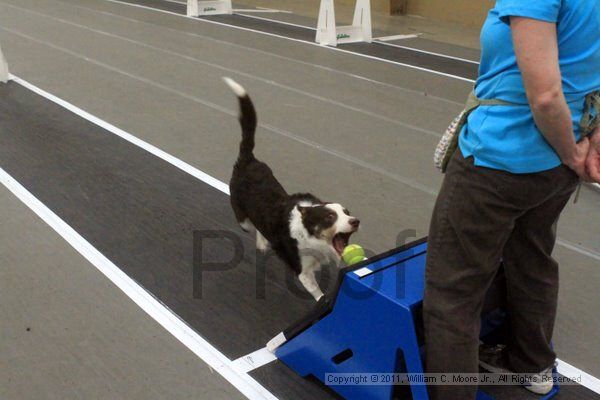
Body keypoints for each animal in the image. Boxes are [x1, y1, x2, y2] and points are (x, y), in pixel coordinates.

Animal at [223, 77, 358, 300]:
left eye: (347, 212)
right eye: (330, 217)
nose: (355, 221)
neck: (309, 233)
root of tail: (247, 159)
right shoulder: (302, 270)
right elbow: (317, 293)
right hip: (242, 218)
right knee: (251, 225)